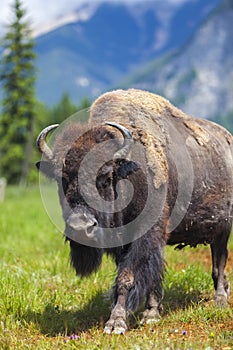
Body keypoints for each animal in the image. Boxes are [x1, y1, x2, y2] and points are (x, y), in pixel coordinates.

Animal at [36, 88, 233, 334]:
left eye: (105, 176)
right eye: (62, 178)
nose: (81, 227)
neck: (128, 173)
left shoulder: (146, 235)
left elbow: (127, 277)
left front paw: (117, 323)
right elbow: (148, 275)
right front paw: (151, 313)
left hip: (223, 229)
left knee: (219, 263)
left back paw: (220, 301)